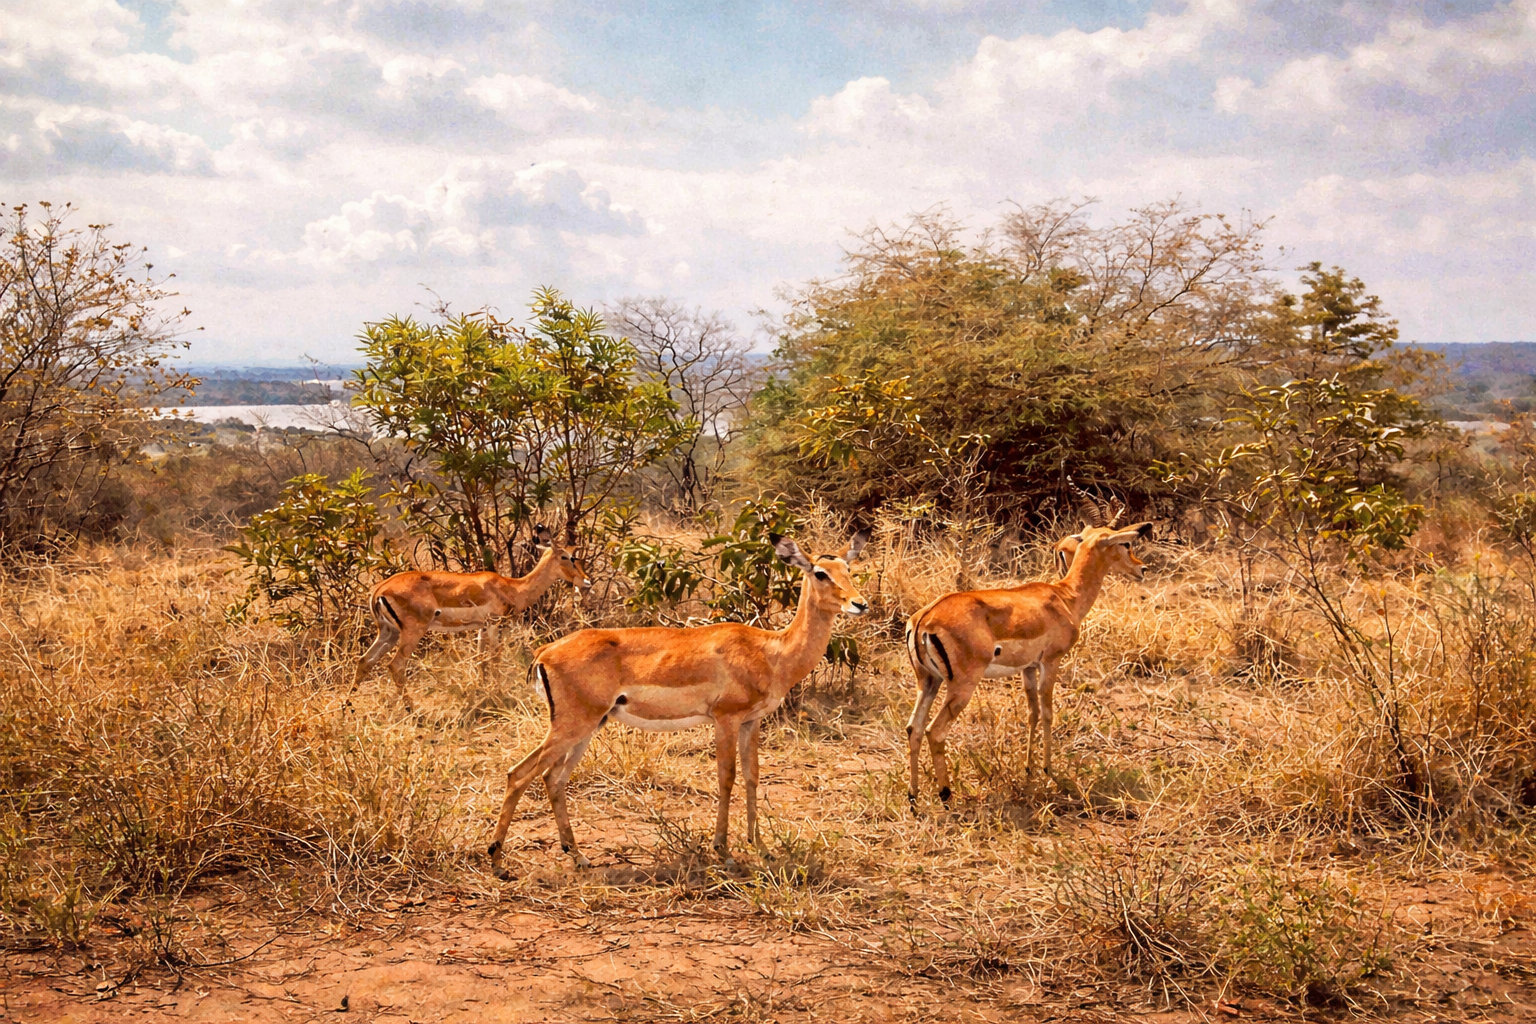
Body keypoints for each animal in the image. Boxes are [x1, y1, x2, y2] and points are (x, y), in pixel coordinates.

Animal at [352, 526, 592, 709]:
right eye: (567, 557)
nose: (587, 581)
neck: (512, 587)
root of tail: (379, 590)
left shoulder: (481, 628)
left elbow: (480, 660)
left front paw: (483, 691)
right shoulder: (494, 624)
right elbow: (494, 658)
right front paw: (497, 694)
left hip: (389, 632)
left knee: (365, 660)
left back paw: (350, 706)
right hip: (412, 632)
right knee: (395, 665)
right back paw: (412, 709)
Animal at [487, 530, 870, 877]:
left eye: (849, 569)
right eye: (820, 573)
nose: (860, 603)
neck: (771, 651)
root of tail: (544, 652)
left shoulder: (752, 722)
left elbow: (752, 777)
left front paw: (761, 848)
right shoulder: (725, 719)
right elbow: (726, 778)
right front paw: (724, 852)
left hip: (588, 728)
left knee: (552, 778)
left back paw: (578, 856)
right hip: (572, 726)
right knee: (518, 774)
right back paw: (498, 861)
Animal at [904, 513, 1152, 811]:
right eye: (1125, 543)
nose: (1142, 568)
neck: (1066, 598)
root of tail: (923, 619)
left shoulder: (1028, 669)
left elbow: (1031, 714)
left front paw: (1029, 770)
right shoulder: (1051, 663)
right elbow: (1047, 714)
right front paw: (1048, 771)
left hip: (929, 682)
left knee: (914, 728)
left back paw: (913, 796)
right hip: (961, 686)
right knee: (935, 731)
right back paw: (945, 794)